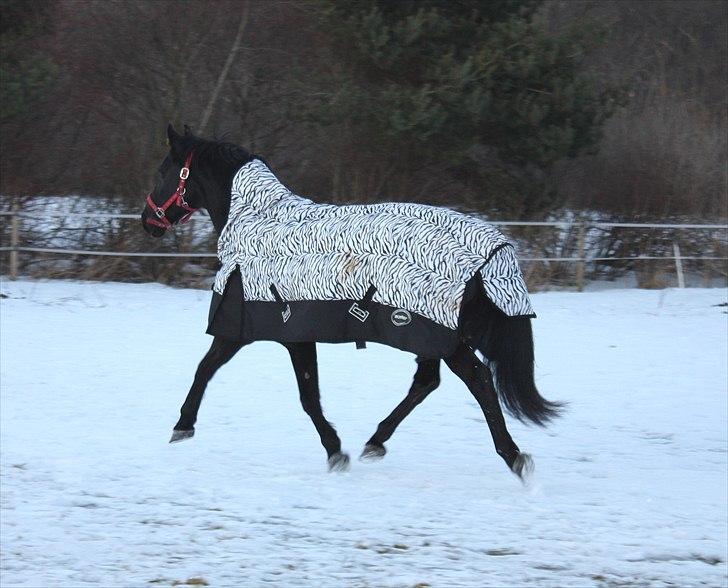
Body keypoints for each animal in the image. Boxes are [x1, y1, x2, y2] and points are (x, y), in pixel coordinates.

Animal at [142, 125, 564, 482]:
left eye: (164, 171)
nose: (148, 221)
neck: (257, 223)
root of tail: (492, 250)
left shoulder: (257, 329)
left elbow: (222, 372)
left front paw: (182, 426)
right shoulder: (287, 331)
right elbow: (292, 389)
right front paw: (337, 450)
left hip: (442, 335)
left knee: (478, 381)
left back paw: (514, 457)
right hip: (434, 336)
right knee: (427, 382)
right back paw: (375, 442)